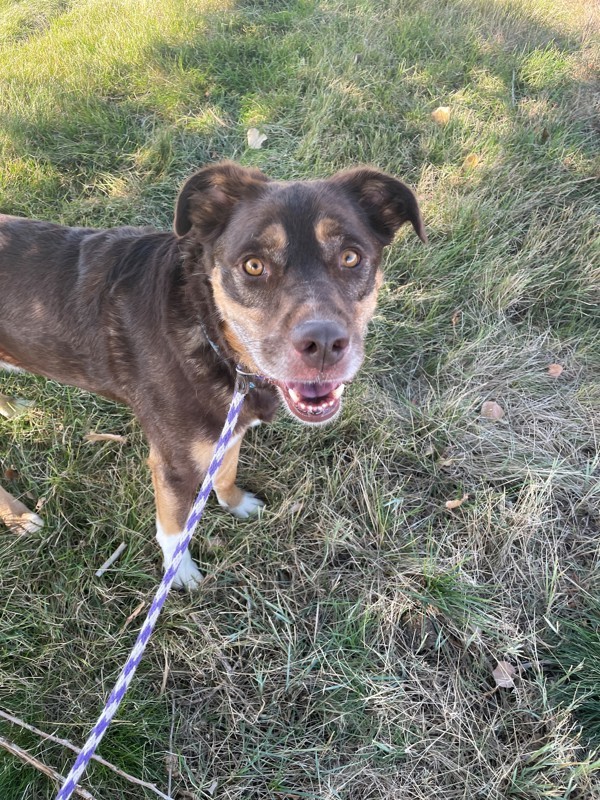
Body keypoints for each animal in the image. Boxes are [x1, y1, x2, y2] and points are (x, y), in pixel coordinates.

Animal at [0, 161, 424, 588]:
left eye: (351, 257)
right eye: (253, 265)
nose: (322, 344)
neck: (213, 336)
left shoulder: (229, 427)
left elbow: (225, 471)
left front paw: (236, 504)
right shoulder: (173, 465)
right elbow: (173, 528)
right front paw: (180, 572)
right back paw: (19, 516)